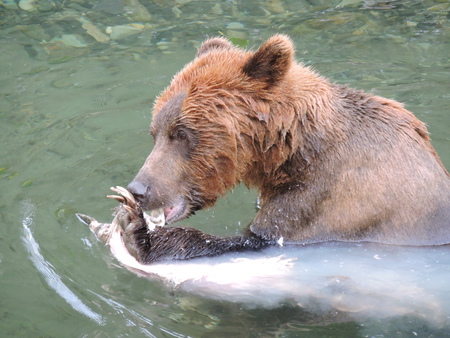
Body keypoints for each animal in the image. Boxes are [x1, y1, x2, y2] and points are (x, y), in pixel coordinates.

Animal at [125, 34, 450, 262]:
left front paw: (139, 233)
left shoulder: (324, 202)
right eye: (155, 132)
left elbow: (250, 239)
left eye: (181, 134)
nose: (138, 189)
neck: (293, 152)